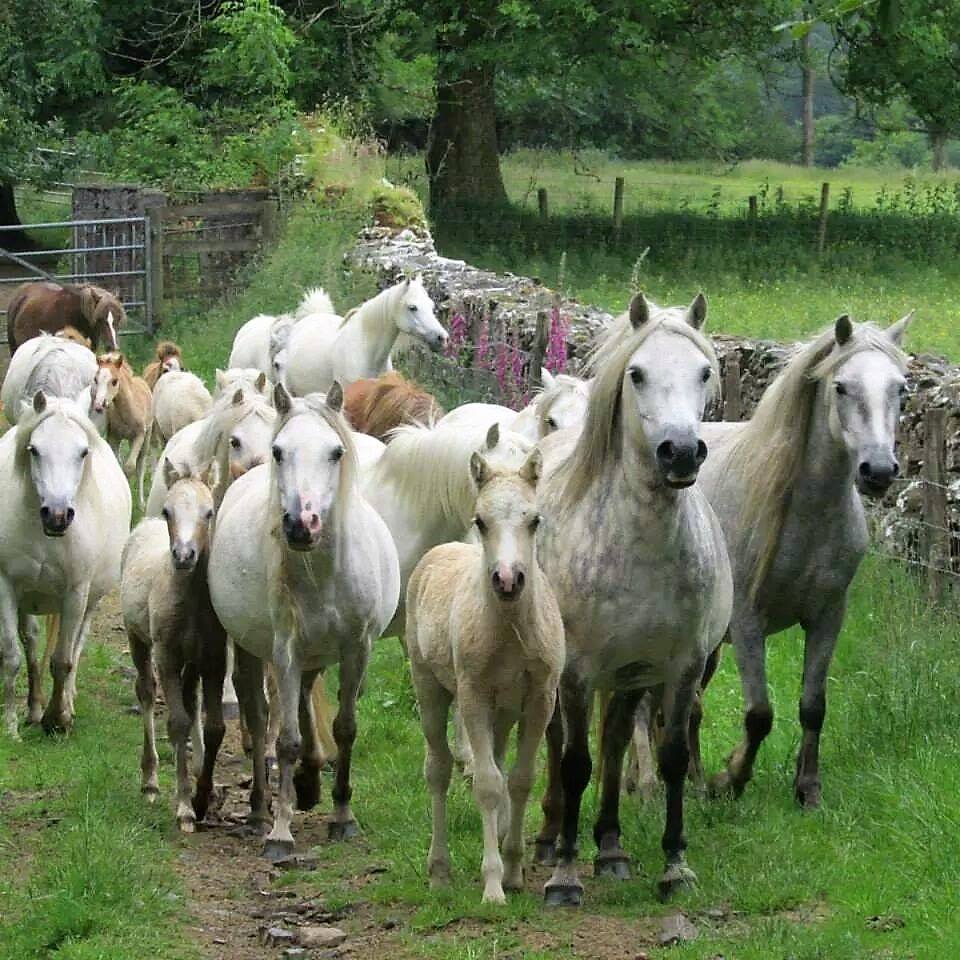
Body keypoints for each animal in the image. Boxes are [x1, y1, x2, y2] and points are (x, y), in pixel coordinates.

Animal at [0, 392, 133, 736]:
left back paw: (65, 703)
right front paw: (11, 728)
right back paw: (34, 708)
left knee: (76, 646)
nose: (57, 515)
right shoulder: (6, 587)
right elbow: (12, 656)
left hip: (89, 601)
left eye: (83, 452)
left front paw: (58, 719)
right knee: (31, 641)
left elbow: (63, 661)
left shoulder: (75, 592)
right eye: (34, 450)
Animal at [119, 462, 223, 828]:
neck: (192, 601)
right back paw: (150, 781)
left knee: (192, 700)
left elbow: (211, 722)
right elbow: (177, 723)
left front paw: (204, 791)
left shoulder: (213, 658)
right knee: (147, 692)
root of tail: (142, 526)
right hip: (137, 637)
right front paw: (185, 807)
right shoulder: (166, 655)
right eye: (168, 511)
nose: (184, 555)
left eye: (209, 511)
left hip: (192, 661)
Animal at [211, 382, 402, 856]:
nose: (302, 524)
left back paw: (311, 781)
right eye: (279, 451)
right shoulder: (286, 651)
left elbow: (346, 728)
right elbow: (286, 739)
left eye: (336, 452)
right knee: (259, 714)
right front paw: (280, 831)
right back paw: (260, 810)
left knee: (303, 698)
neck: (323, 572)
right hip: (254, 649)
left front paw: (342, 815)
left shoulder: (357, 649)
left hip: (315, 655)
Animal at [404, 448, 564, 900]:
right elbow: (488, 784)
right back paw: (439, 870)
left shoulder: (541, 699)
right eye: (481, 521)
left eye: (535, 520)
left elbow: (520, 779)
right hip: (430, 688)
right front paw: (493, 885)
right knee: (438, 769)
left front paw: (513, 868)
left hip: (504, 710)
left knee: (498, 759)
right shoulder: (473, 696)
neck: (509, 630)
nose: (508, 580)